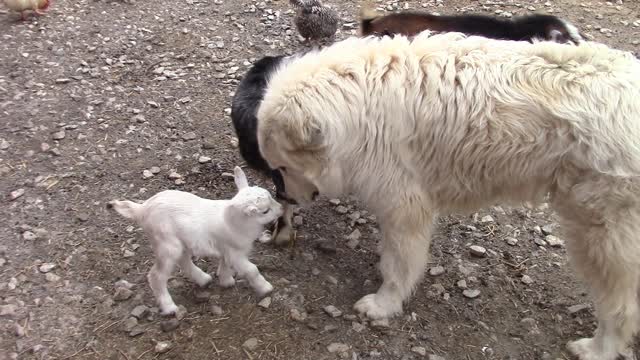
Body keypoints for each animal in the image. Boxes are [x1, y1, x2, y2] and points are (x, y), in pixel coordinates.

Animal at [108, 166, 282, 316]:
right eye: (265, 211)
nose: (281, 209)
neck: (234, 221)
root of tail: (142, 209)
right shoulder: (235, 252)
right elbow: (252, 269)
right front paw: (265, 288)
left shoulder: (226, 247)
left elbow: (225, 263)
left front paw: (226, 280)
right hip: (166, 243)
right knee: (156, 275)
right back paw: (169, 307)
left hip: (177, 243)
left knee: (183, 260)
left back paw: (203, 279)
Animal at [255, 31, 640, 360]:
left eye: (283, 167)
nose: (283, 198)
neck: (358, 103)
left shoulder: (404, 208)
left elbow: (398, 265)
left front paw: (384, 304)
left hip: (600, 235)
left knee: (621, 307)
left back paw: (599, 348)